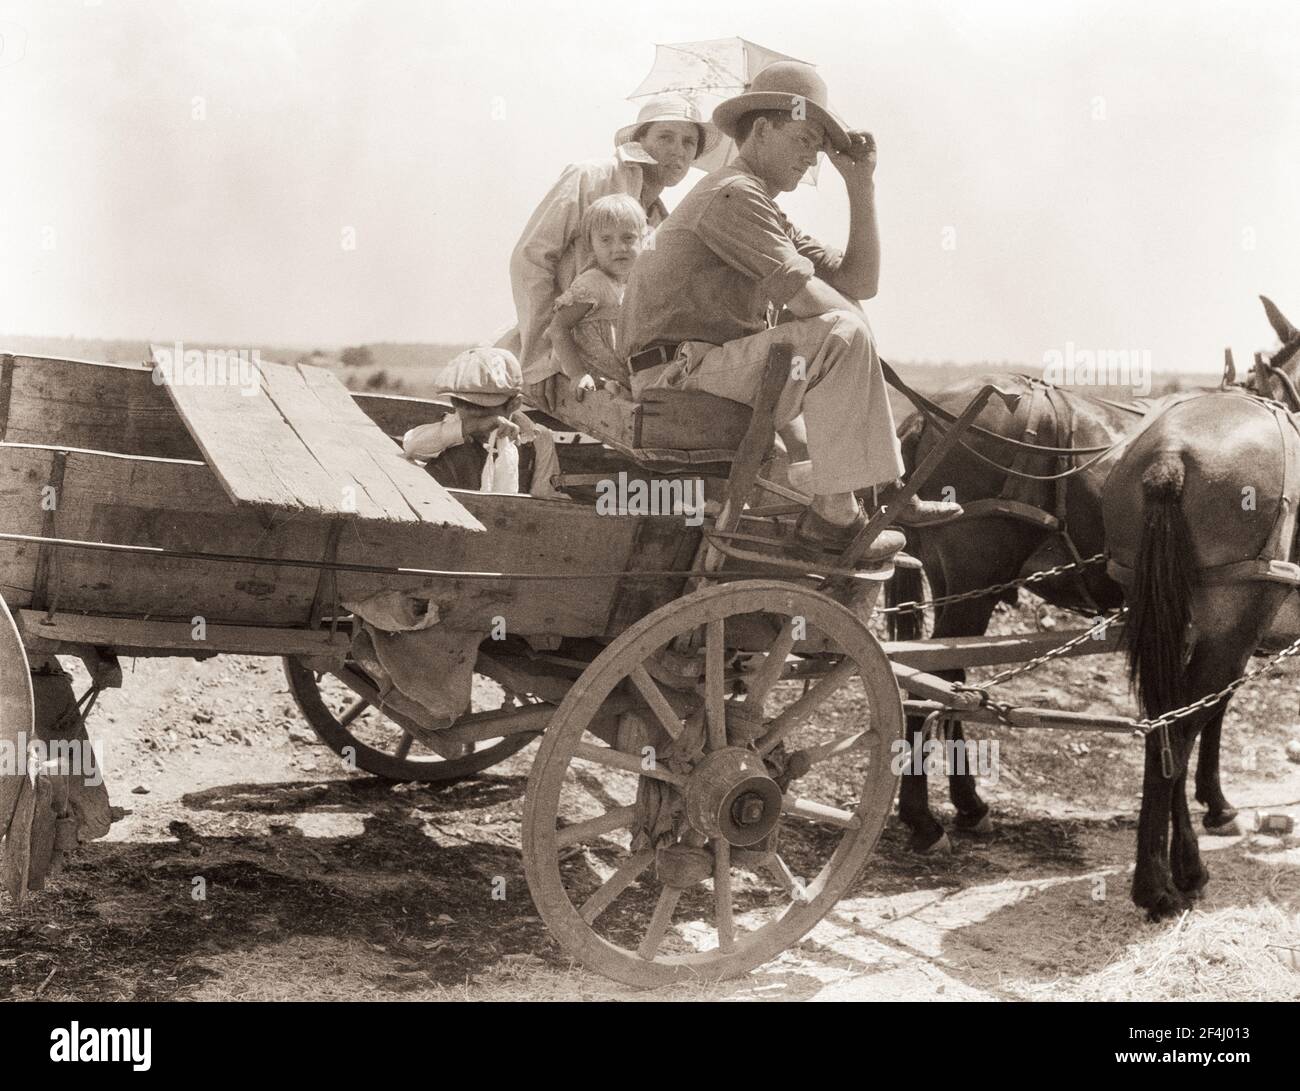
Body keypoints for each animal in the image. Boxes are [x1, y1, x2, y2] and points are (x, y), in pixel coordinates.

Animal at [1102, 296, 1300, 915]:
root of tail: (1169, 457)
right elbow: (1215, 714)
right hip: (1232, 623)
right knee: (1185, 720)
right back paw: (1165, 879)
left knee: (1163, 722)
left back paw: (1168, 868)